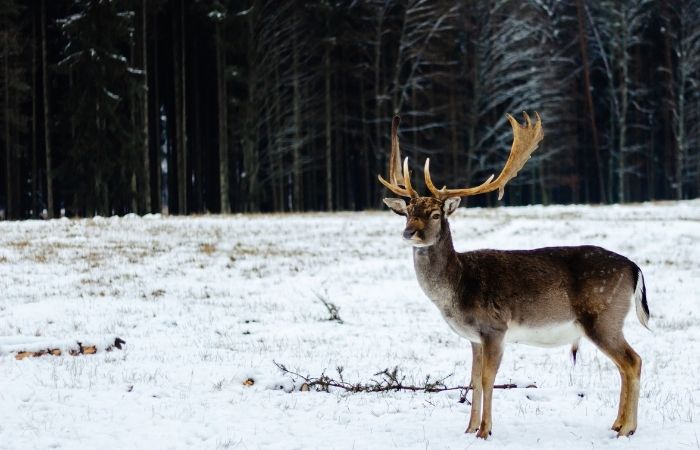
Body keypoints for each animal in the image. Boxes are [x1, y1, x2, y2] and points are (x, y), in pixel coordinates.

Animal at [378, 113, 650, 439]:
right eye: (408, 212)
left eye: (435, 214)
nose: (409, 233)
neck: (456, 288)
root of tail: (634, 267)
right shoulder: (474, 338)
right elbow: (473, 379)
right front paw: (469, 428)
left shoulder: (495, 327)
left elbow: (487, 379)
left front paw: (485, 431)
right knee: (624, 365)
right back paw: (618, 424)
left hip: (603, 316)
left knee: (633, 361)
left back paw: (627, 429)